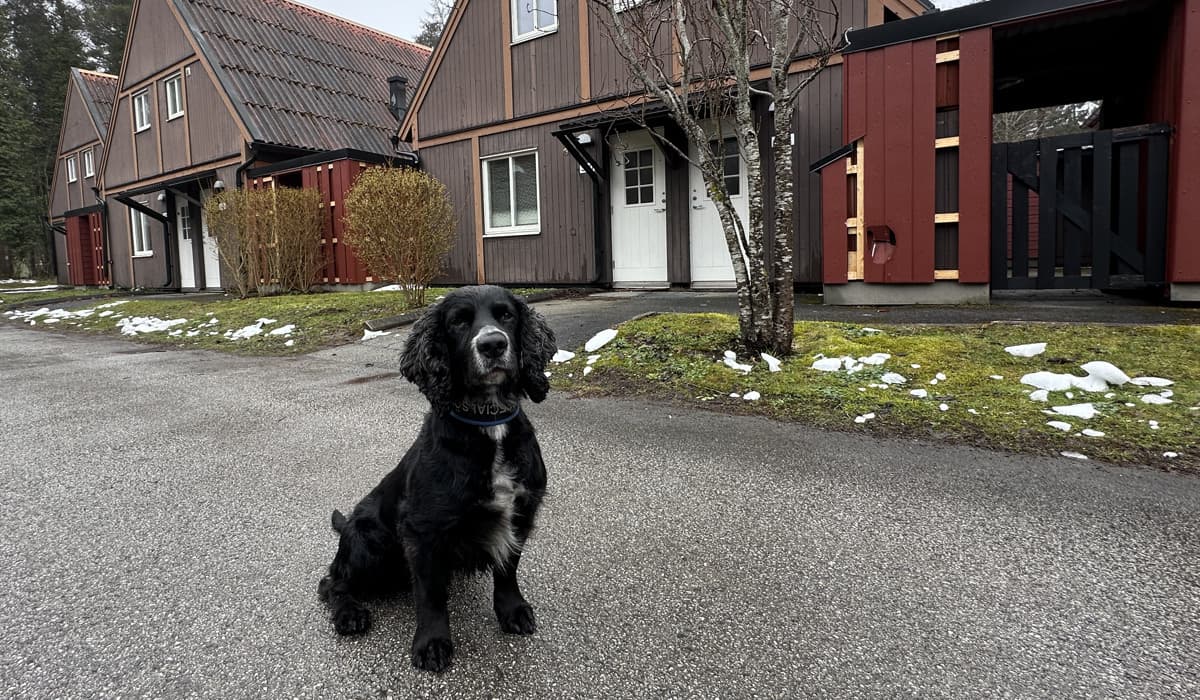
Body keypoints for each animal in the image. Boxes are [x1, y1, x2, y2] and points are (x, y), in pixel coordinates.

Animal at [321, 284, 559, 672]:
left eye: (506, 315)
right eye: (458, 322)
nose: (493, 344)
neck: (488, 423)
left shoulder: (521, 512)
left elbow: (508, 568)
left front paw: (512, 610)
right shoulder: (422, 530)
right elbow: (430, 594)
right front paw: (432, 643)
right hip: (369, 542)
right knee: (332, 582)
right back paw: (350, 614)